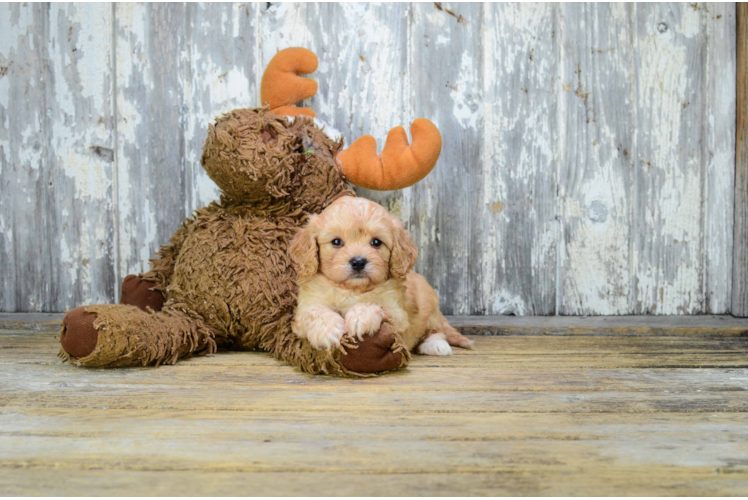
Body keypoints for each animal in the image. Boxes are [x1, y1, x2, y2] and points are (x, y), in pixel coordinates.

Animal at [288, 195, 474, 356]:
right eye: (336, 242)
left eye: (376, 242)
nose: (358, 262)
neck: (351, 290)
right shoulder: (304, 308)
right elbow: (314, 311)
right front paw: (328, 330)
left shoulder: (398, 313)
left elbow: (376, 303)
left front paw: (360, 316)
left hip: (430, 306)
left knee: (437, 330)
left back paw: (436, 345)